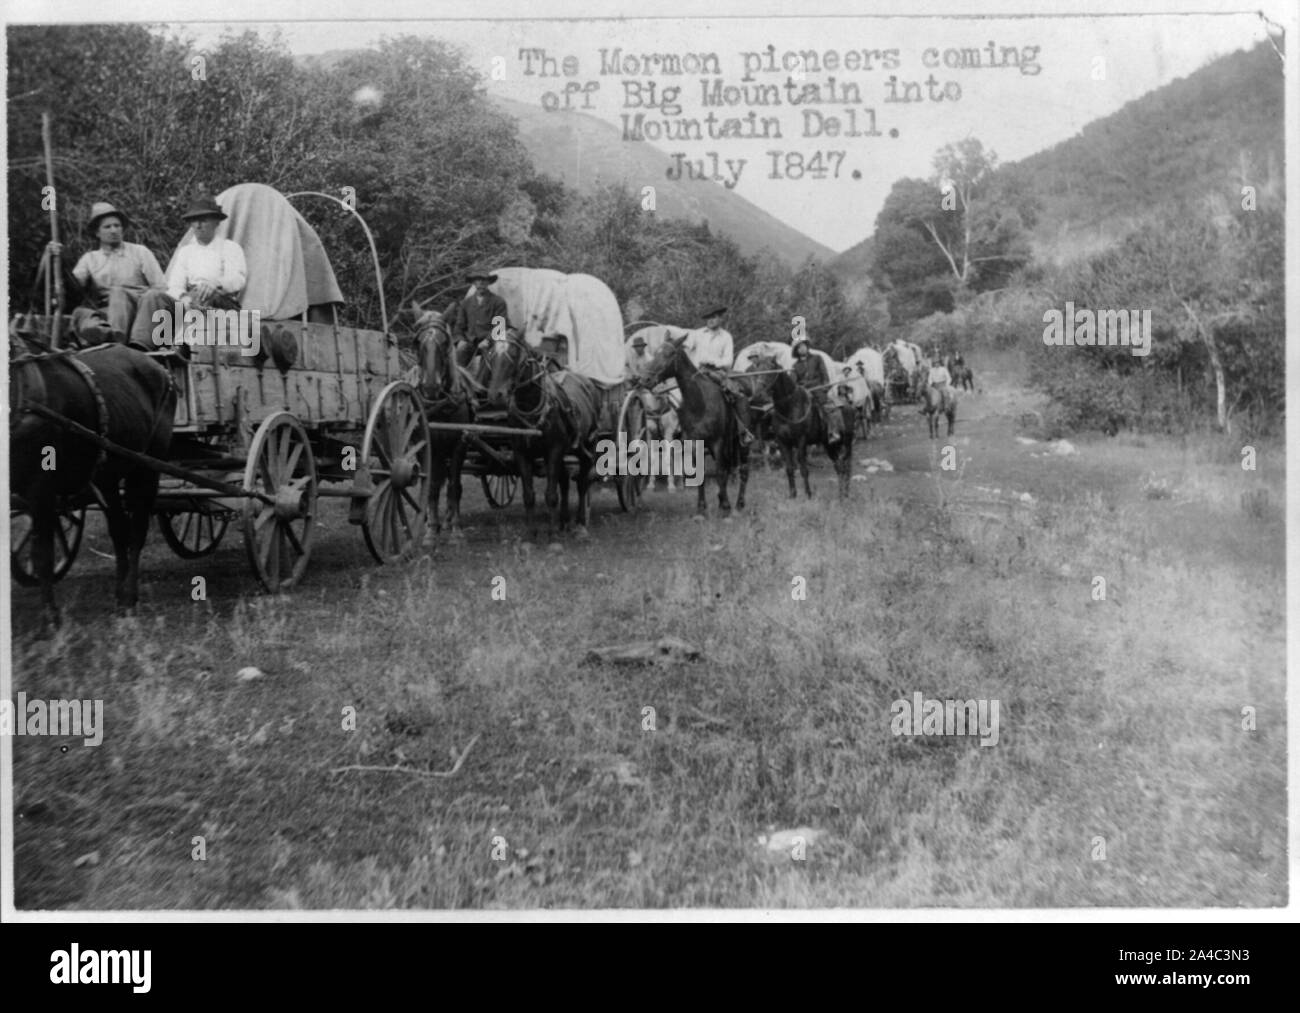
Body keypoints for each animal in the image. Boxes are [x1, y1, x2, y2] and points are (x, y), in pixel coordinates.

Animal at [7, 345, 176, 621]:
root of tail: (160, 368)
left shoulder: (40, 489)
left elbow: (43, 553)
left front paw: (51, 616)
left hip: (147, 467)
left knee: (137, 530)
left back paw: (130, 595)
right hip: (107, 475)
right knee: (119, 530)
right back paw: (120, 594)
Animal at [410, 310, 473, 538]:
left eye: (444, 342)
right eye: (417, 342)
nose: (430, 386)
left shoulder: (459, 445)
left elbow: (454, 485)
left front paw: (455, 527)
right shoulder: (426, 447)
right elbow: (431, 485)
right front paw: (430, 529)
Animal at [483, 332, 598, 543]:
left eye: (514, 355)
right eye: (491, 355)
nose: (496, 394)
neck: (531, 405)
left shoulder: (553, 451)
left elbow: (551, 494)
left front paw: (552, 537)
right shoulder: (521, 453)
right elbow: (529, 495)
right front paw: (531, 534)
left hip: (587, 447)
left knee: (582, 483)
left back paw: (579, 525)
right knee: (564, 482)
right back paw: (563, 522)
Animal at [642, 338, 754, 520]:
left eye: (669, 353)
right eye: (655, 352)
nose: (645, 379)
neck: (700, 403)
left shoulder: (717, 443)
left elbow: (720, 473)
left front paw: (725, 508)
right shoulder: (695, 443)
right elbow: (700, 474)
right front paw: (701, 510)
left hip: (742, 443)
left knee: (743, 470)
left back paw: (738, 505)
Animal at [748, 353, 857, 501]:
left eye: (771, 370)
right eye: (757, 369)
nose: (757, 395)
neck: (789, 406)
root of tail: (848, 405)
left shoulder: (801, 441)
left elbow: (804, 469)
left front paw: (808, 495)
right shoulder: (783, 442)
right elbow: (789, 469)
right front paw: (792, 495)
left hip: (847, 443)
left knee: (847, 466)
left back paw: (845, 495)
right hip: (830, 445)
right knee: (839, 467)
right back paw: (841, 495)